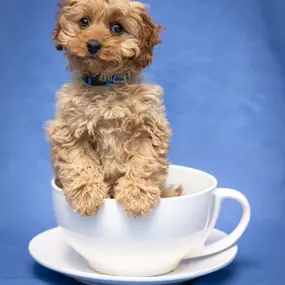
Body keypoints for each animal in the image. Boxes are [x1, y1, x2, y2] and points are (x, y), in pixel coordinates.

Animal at [46, 0, 180, 216]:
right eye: (84, 22)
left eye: (117, 28)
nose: (93, 45)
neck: (105, 85)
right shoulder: (69, 129)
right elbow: (80, 163)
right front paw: (87, 194)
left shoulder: (149, 127)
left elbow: (144, 161)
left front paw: (137, 195)